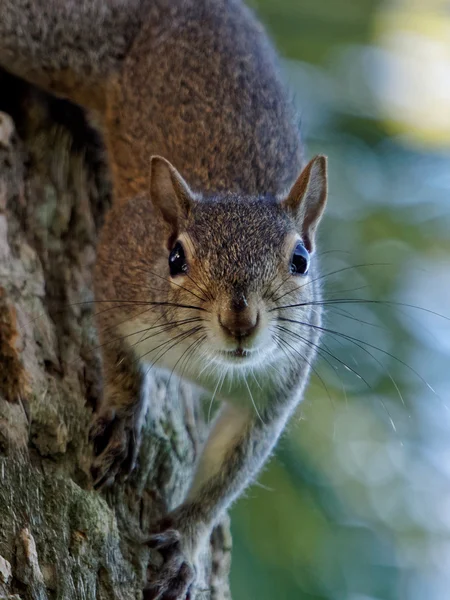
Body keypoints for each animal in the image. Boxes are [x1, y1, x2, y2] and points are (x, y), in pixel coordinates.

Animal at [0, 2, 326, 596]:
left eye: (300, 260)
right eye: (174, 257)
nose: (240, 320)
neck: (204, 361)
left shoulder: (274, 389)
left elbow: (229, 468)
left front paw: (186, 543)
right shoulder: (118, 265)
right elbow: (118, 356)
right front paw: (126, 416)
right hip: (54, 37)